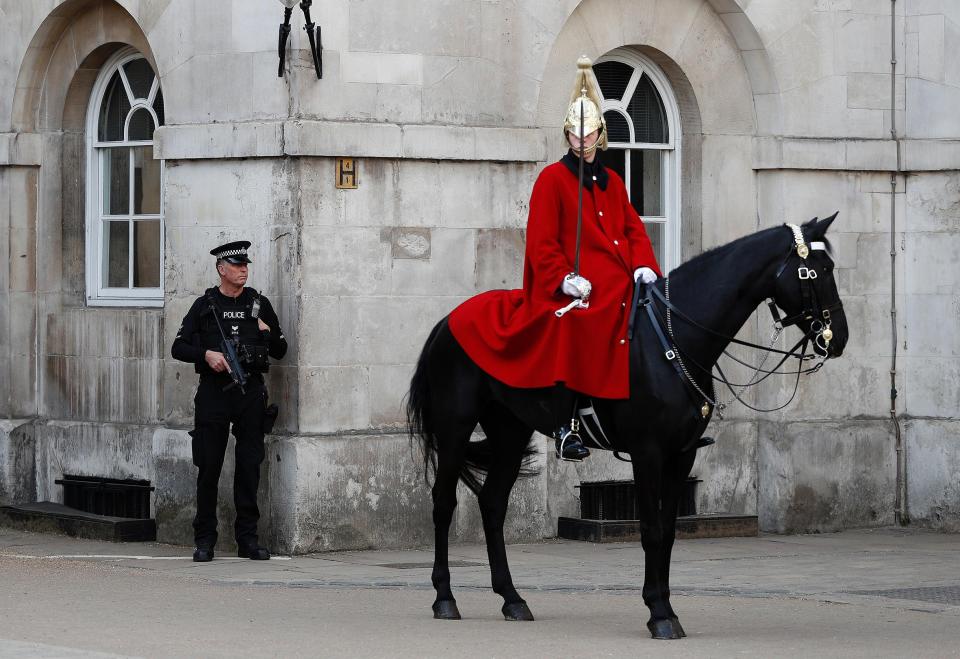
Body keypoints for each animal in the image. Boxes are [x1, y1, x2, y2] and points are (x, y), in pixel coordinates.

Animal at [404, 217, 848, 640]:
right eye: (817, 270)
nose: (839, 338)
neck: (674, 338)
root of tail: (448, 320)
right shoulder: (647, 451)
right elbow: (650, 529)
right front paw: (659, 614)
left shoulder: (682, 453)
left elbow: (667, 532)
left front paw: (665, 606)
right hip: (455, 428)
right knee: (443, 502)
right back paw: (445, 597)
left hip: (510, 431)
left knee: (493, 503)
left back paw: (512, 599)